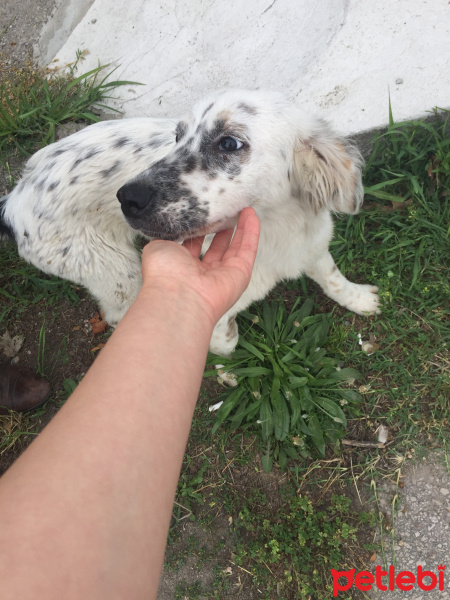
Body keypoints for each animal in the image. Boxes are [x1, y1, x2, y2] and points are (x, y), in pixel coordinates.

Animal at [0, 86, 380, 354]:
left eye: (229, 143)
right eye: (178, 137)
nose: (128, 198)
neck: (276, 229)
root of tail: (14, 198)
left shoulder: (312, 246)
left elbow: (332, 277)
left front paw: (360, 299)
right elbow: (221, 341)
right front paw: (227, 344)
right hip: (112, 268)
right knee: (118, 312)